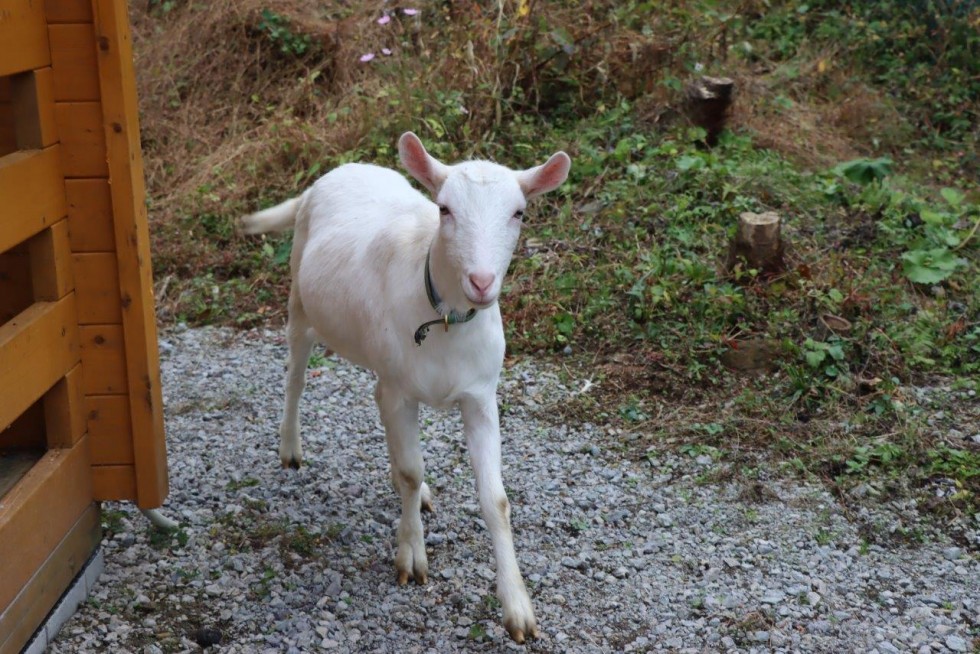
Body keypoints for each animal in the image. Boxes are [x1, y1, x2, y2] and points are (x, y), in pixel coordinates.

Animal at [240, 135, 572, 644]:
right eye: (444, 208)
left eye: (520, 212)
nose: (481, 282)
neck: (443, 319)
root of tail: (331, 175)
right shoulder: (399, 390)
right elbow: (411, 471)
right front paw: (411, 556)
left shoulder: (480, 396)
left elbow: (494, 498)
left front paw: (517, 608)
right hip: (299, 295)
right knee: (295, 373)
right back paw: (290, 447)